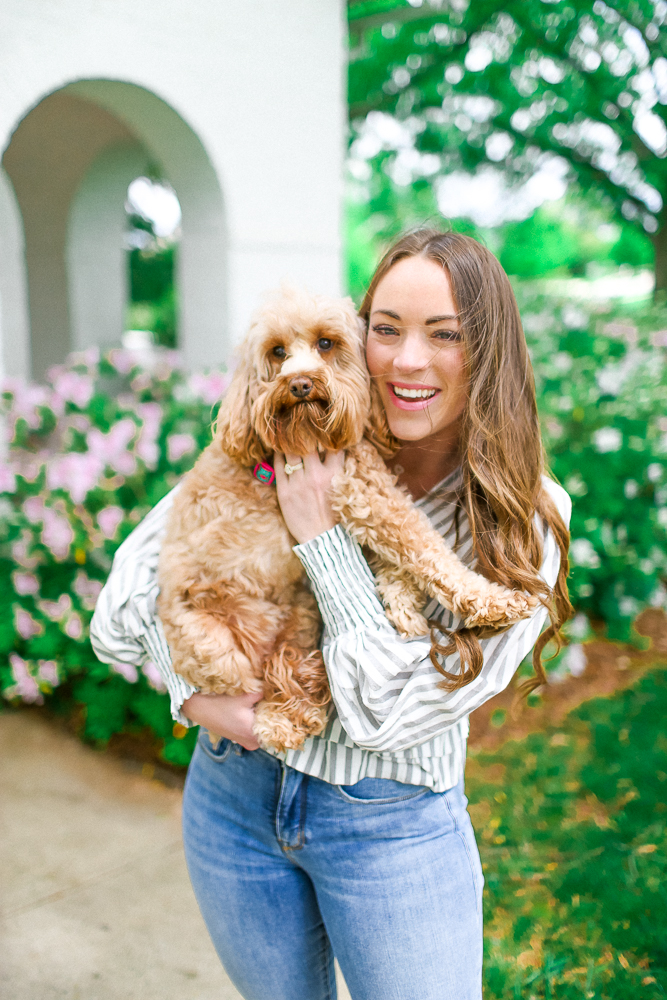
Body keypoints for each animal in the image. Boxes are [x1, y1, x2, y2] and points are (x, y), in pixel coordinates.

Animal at [158, 290, 536, 752]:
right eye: (277, 352)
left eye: (326, 343)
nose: (300, 383)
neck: (308, 436)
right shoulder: (363, 493)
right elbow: (427, 547)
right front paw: (495, 601)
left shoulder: (359, 497)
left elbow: (401, 556)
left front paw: (403, 603)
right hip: (211, 646)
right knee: (243, 677)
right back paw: (281, 718)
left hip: (299, 613)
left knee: (289, 667)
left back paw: (292, 711)